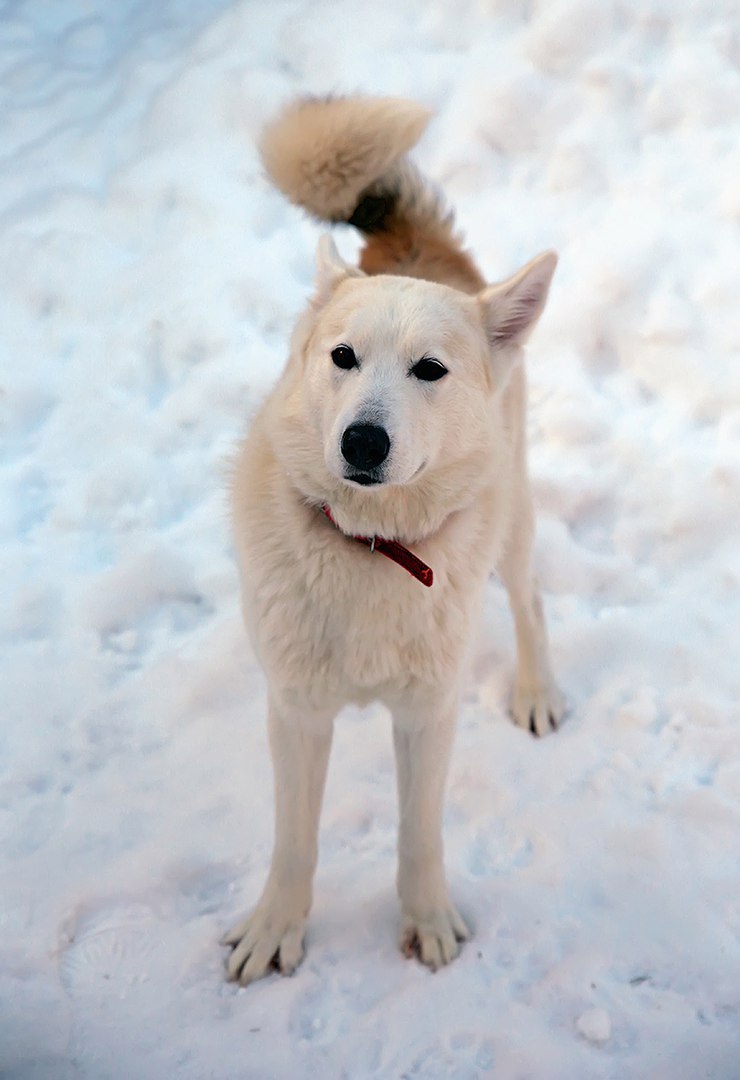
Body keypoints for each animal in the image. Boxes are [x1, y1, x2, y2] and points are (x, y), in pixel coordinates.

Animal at [222, 97, 561, 984]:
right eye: (343, 357)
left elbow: (419, 835)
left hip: (512, 517)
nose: (363, 442)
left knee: (530, 600)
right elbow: (294, 842)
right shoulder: (296, 711)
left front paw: (427, 920)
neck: (372, 548)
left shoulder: (428, 713)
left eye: (429, 370)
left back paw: (537, 691)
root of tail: (418, 251)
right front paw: (277, 928)